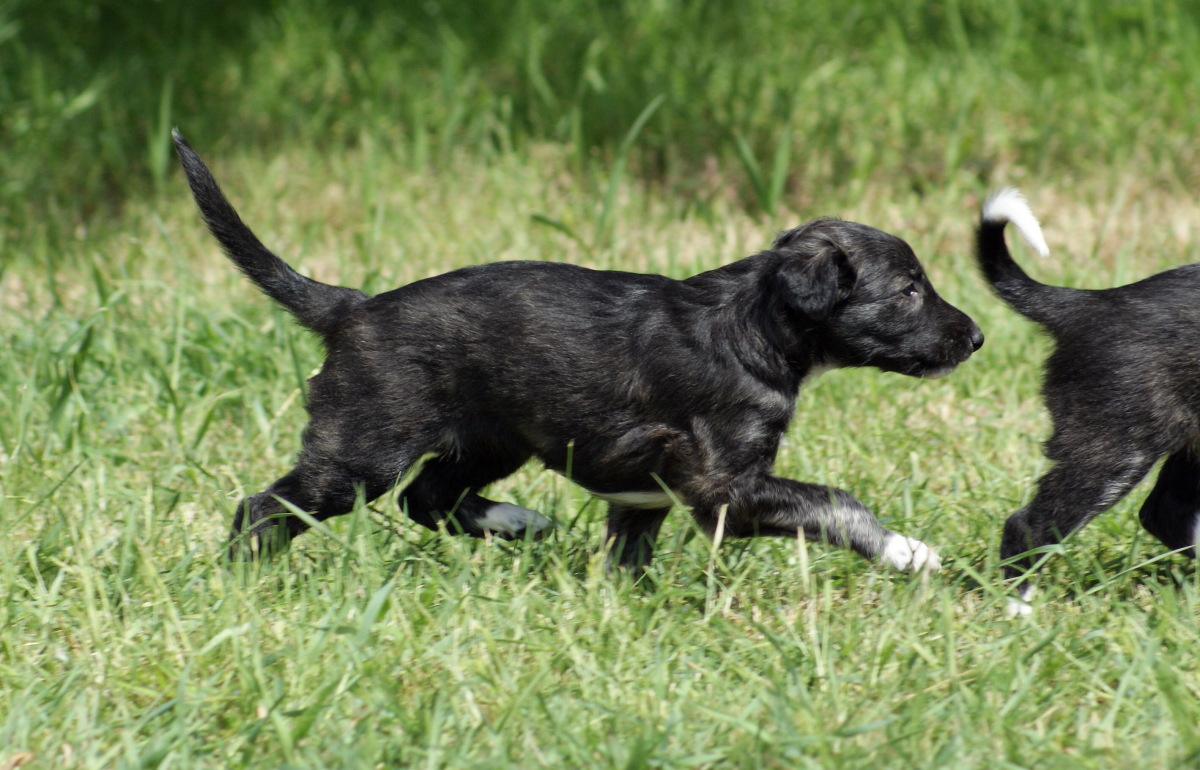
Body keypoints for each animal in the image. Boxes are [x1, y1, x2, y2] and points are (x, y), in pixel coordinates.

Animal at [175, 131, 984, 573]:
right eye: (909, 289)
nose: (976, 337)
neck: (755, 327)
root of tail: (352, 306)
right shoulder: (726, 486)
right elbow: (835, 502)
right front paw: (907, 552)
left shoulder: (648, 492)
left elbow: (630, 556)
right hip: (362, 447)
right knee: (267, 506)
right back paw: (246, 579)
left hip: (490, 438)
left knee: (428, 496)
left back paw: (516, 523)